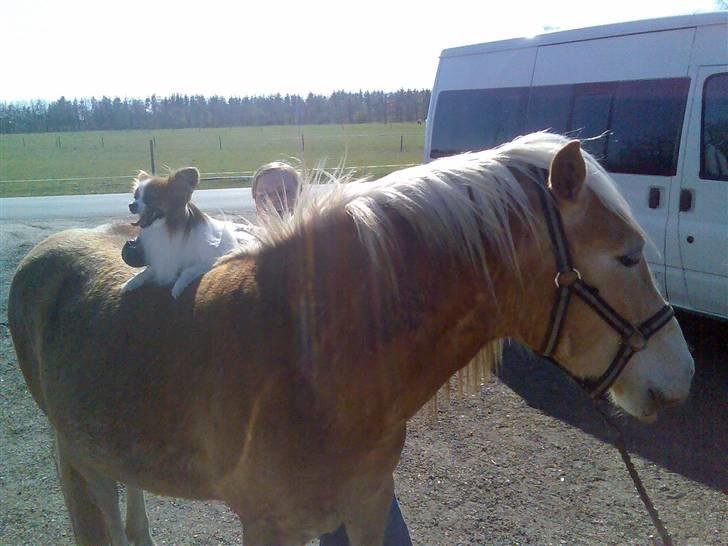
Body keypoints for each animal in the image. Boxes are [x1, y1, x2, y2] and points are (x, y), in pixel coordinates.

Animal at [121, 166, 237, 298]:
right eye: (135, 197)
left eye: (151, 198)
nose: (131, 205)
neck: (168, 228)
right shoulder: (161, 262)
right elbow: (146, 271)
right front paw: (131, 282)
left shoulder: (209, 261)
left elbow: (187, 270)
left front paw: (178, 286)